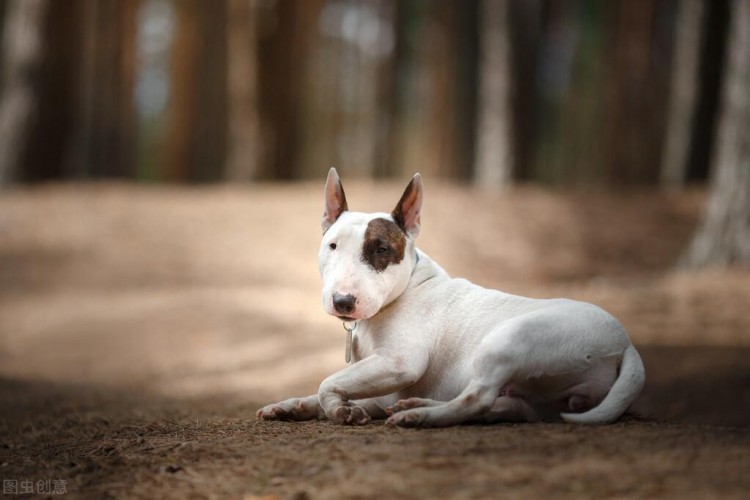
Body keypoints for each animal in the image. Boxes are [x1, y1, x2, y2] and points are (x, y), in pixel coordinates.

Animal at [258, 169, 648, 426]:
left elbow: (328, 382)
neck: (401, 293)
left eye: (381, 249)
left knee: (476, 400)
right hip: (536, 397)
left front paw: (340, 410)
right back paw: (415, 406)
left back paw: (418, 415)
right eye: (332, 246)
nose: (343, 302)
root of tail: (626, 344)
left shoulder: (399, 362)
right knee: (505, 407)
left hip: (507, 340)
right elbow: (329, 389)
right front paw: (291, 406)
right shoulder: (377, 384)